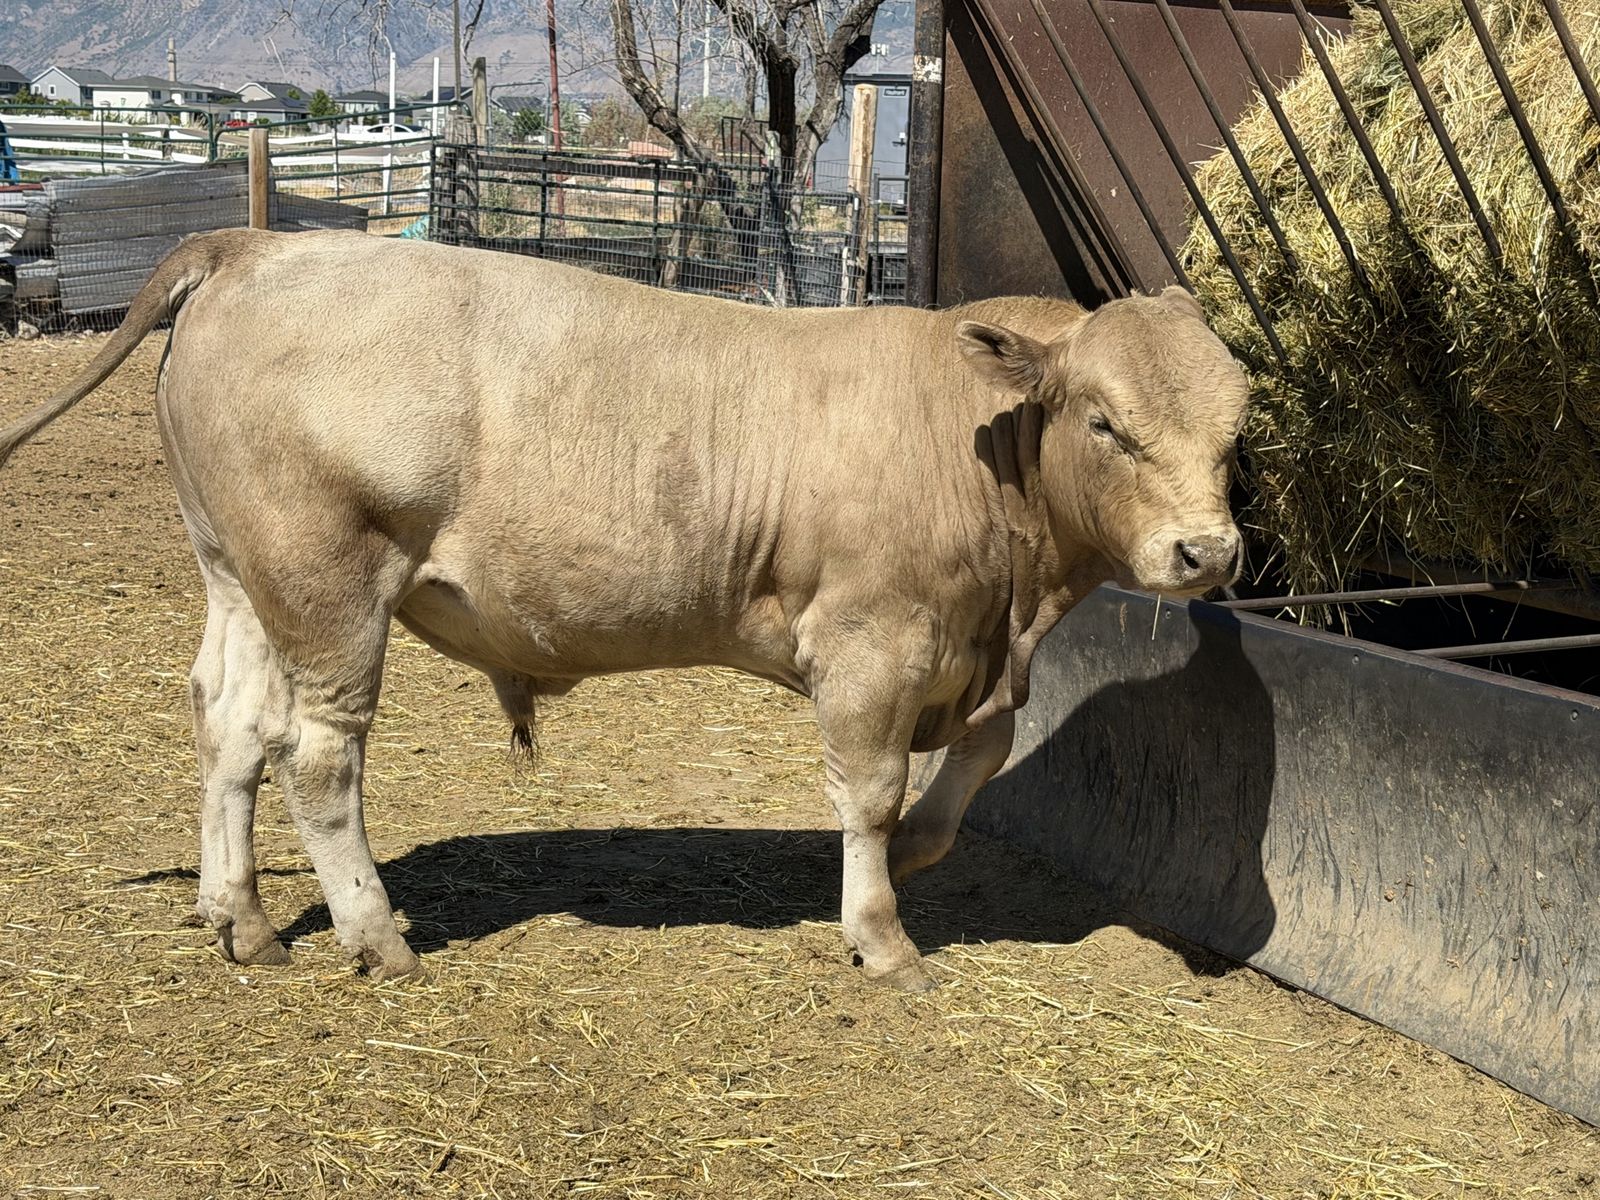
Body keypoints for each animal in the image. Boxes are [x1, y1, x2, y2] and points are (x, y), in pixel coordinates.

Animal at [0, 229, 1249, 990]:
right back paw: (376, 935)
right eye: (1104, 421)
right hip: (329, 582)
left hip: (242, 576)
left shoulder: (978, 657)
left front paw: (917, 862)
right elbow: (872, 795)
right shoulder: (871, 642)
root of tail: (256, 244)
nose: (1208, 551)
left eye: (1236, 428)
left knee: (230, 727)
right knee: (317, 757)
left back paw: (243, 921)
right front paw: (882, 935)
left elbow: (970, 767)